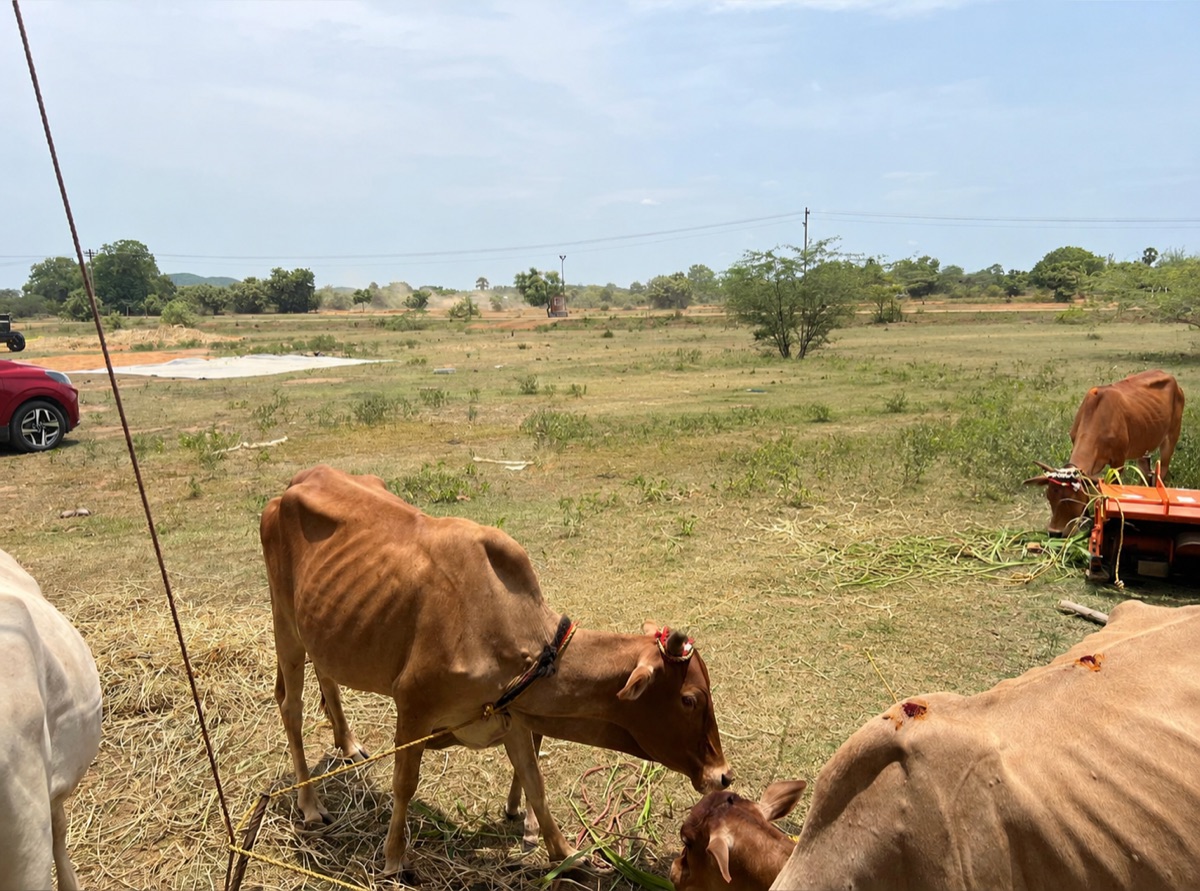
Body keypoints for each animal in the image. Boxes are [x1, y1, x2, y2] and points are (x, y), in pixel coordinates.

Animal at [261, 464, 731, 881]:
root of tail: (296, 482)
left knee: (327, 675)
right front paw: (393, 859)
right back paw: (309, 804)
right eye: (690, 699)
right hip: (285, 626)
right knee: (291, 708)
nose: (723, 775)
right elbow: (404, 784)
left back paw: (348, 742)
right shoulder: (413, 705)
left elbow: (536, 785)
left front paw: (566, 855)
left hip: (323, 626)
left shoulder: (511, 713)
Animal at [1026, 370, 1184, 535]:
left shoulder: (1118, 460)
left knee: (1162, 471)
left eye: (1071, 499)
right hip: (1142, 446)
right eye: (1049, 496)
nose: (1054, 532)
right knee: (1146, 474)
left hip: (1171, 437)